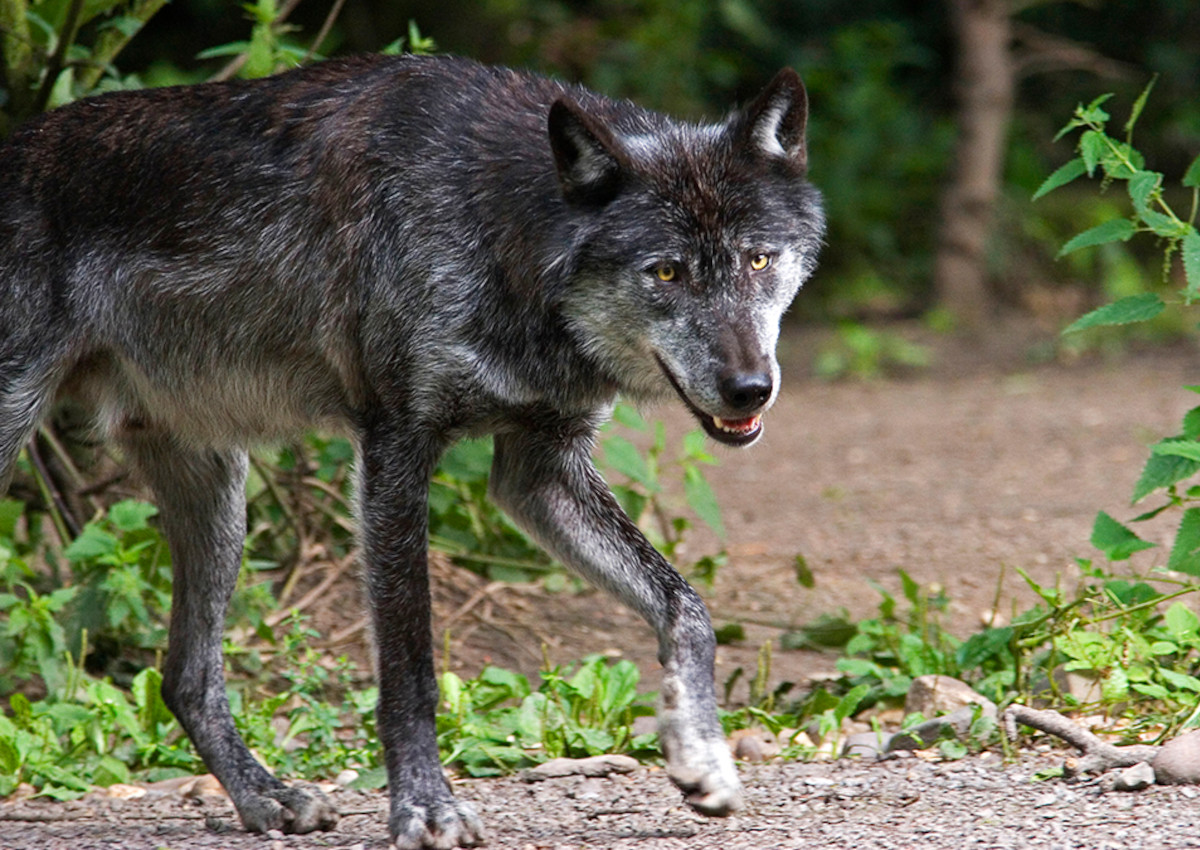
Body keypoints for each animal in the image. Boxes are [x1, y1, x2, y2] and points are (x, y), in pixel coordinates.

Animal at [0, 54, 825, 850]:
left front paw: (701, 756)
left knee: (184, 676)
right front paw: (426, 810)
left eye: (757, 260)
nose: (750, 389)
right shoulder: (395, 451)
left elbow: (687, 605)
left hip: (220, 495)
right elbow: (409, 669)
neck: (498, 226)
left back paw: (266, 798)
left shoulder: (539, 470)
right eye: (667, 272)